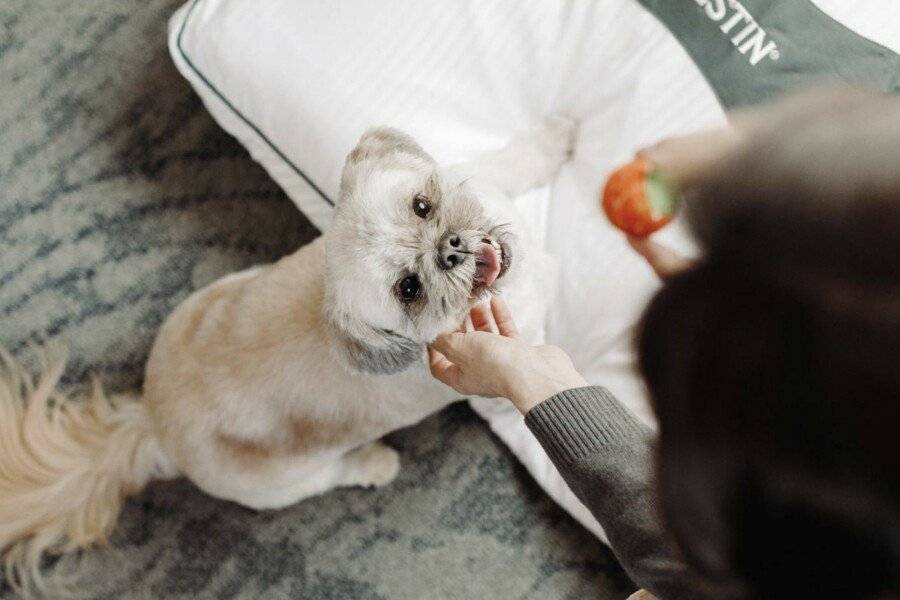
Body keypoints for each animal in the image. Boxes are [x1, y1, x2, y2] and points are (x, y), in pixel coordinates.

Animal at [0, 116, 572, 592]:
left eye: (422, 206)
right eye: (408, 289)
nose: (449, 248)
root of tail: (153, 422)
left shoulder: (490, 181)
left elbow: (512, 162)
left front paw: (557, 141)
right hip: (284, 483)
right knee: (334, 475)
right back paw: (374, 463)